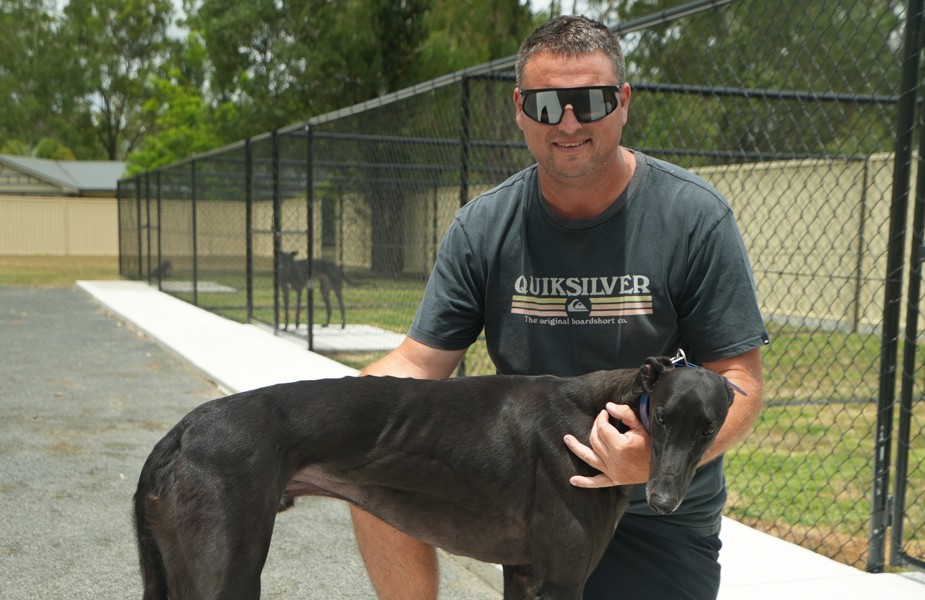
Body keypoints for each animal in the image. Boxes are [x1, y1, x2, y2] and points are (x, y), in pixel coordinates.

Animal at [134, 356, 734, 599]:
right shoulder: (562, 580)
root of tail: (180, 433)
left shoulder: (523, 573)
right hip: (227, 572)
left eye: (708, 429)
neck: (592, 412)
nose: (663, 500)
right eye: (661, 418)